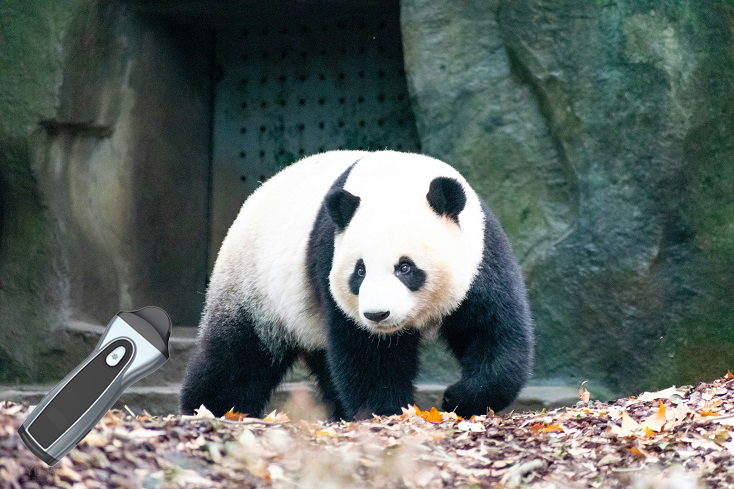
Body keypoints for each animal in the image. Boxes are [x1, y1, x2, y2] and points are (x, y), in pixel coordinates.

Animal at [180, 150, 533, 420]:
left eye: (405, 268)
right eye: (359, 271)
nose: (378, 314)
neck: (395, 179)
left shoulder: (481, 255)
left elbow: (493, 331)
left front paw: (458, 398)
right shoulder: (330, 257)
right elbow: (368, 354)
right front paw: (388, 412)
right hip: (254, 285)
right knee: (238, 355)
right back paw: (209, 408)